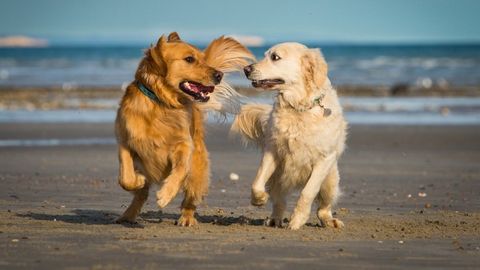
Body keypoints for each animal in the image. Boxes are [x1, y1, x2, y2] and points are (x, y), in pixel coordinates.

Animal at [115, 31, 255, 226]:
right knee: (141, 195)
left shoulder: (184, 145)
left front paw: (166, 194)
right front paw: (138, 179)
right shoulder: (125, 141)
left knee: (190, 199)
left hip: (197, 169)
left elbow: (180, 170)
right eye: (189, 59)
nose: (219, 75)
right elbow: (125, 177)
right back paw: (128, 214)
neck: (162, 104)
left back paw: (187, 218)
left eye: (202, 58)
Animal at [232, 42, 346, 230]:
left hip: (330, 181)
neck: (298, 107)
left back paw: (330, 221)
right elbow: (257, 182)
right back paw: (274, 219)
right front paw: (259, 199)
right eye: (265, 55)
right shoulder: (272, 151)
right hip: (278, 179)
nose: (246, 69)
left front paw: (297, 220)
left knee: (323, 207)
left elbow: (308, 192)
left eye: (275, 57)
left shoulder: (324, 158)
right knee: (279, 202)